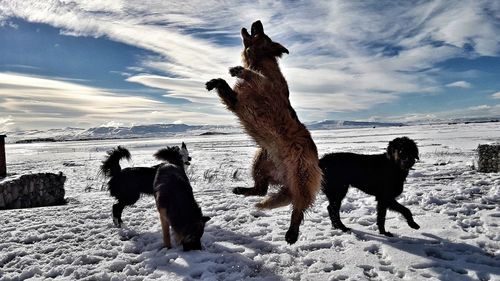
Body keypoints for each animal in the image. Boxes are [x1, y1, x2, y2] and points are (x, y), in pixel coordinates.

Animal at [205, 20, 322, 243]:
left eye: (263, 33)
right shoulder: (235, 102)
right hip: (260, 161)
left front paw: (239, 70)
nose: (257, 21)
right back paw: (243, 189)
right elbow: (224, 84)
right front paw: (215, 81)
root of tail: (284, 178)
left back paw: (292, 232)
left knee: (299, 206)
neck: (259, 63)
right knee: (261, 190)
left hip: (300, 175)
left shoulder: (265, 87)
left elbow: (254, 76)